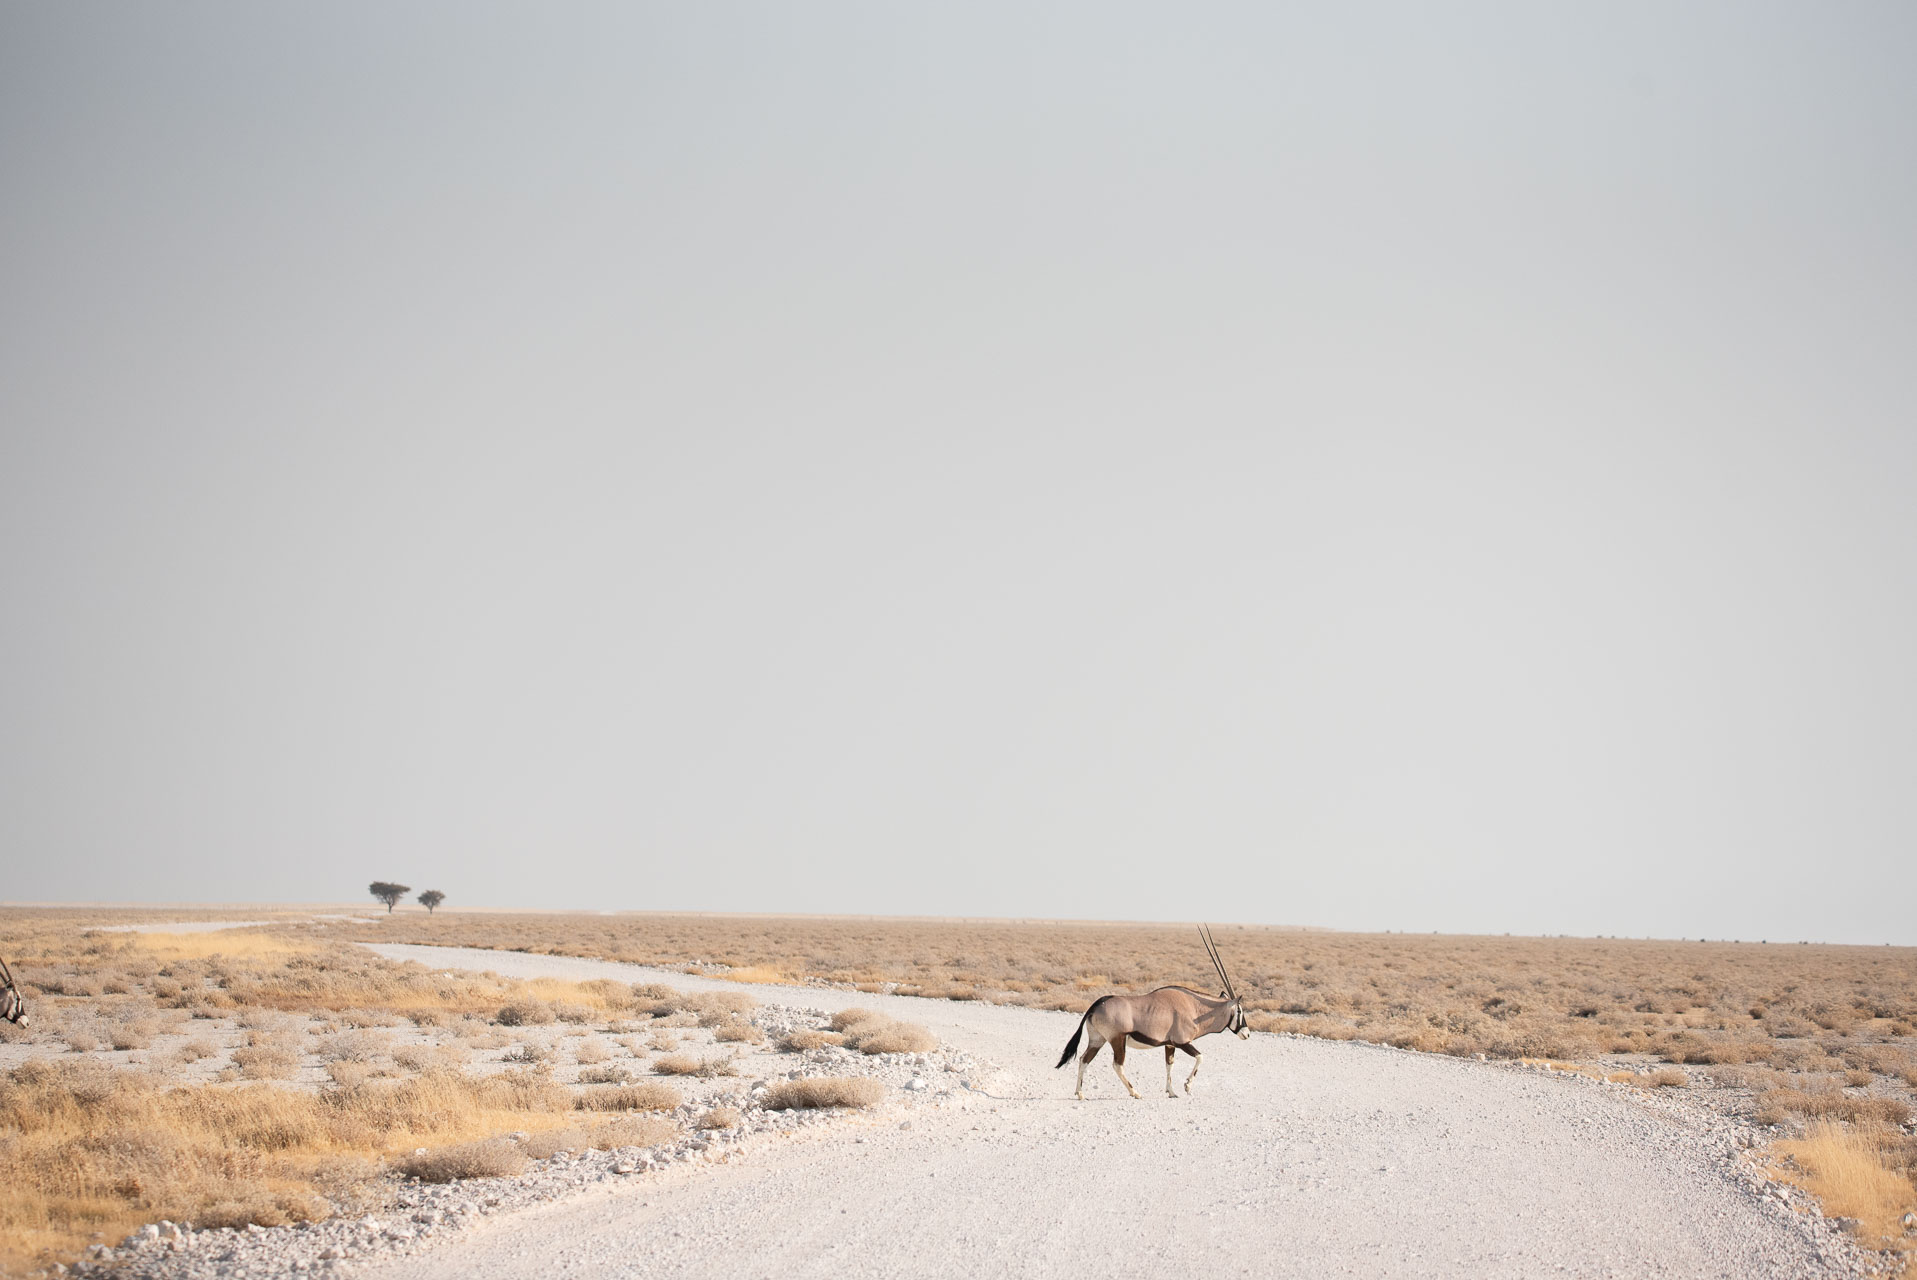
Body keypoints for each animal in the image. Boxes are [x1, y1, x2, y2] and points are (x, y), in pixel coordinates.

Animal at [1055, 924, 1248, 1100]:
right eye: (1239, 1010)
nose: (1246, 1034)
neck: (1194, 1008)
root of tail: (1097, 1004)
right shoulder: (1182, 1042)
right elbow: (1200, 1057)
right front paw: (1187, 1086)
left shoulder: (1170, 1044)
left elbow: (1169, 1065)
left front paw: (1172, 1092)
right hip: (1117, 1040)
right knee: (1117, 1065)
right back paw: (1135, 1093)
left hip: (1097, 1039)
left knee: (1083, 1059)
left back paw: (1080, 1093)